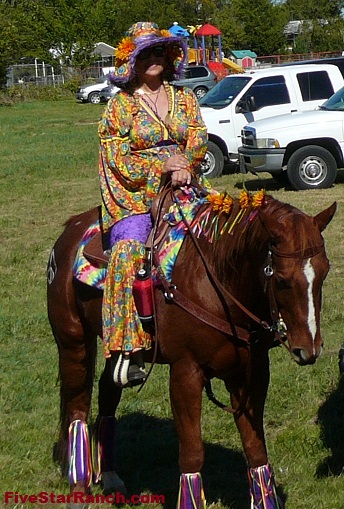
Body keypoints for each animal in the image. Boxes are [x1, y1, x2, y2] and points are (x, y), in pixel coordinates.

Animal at [47, 192, 334, 506]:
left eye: (324, 272)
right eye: (281, 280)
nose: (309, 349)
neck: (216, 286)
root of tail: (71, 228)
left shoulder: (252, 372)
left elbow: (256, 448)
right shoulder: (186, 373)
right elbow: (193, 454)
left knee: (108, 392)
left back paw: (110, 476)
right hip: (73, 341)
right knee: (77, 405)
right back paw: (78, 486)